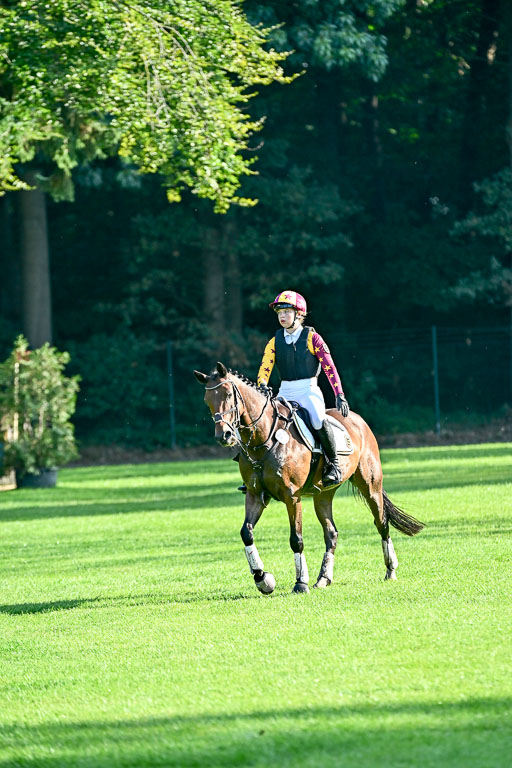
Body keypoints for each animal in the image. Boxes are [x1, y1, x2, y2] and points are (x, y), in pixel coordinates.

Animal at [193, 362, 424, 595]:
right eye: (207, 401)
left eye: (228, 395)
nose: (224, 436)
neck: (263, 439)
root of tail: (358, 420)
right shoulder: (255, 494)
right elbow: (246, 533)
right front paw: (261, 578)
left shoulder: (292, 497)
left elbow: (296, 539)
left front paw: (300, 583)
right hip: (322, 496)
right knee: (331, 533)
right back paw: (323, 578)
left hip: (371, 487)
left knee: (381, 523)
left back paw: (390, 570)